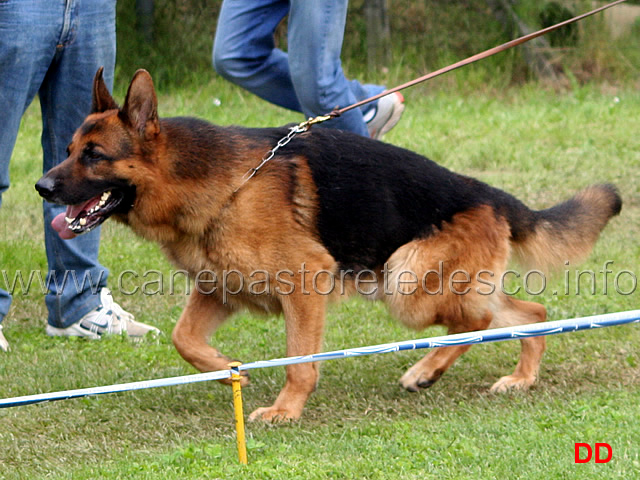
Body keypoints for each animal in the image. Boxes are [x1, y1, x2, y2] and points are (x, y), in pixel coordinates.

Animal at [33, 69, 620, 422]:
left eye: (94, 156)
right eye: (68, 149)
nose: (41, 187)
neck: (218, 183)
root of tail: (491, 194)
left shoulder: (304, 283)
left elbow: (299, 361)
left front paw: (285, 411)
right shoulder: (220, 289)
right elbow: (185, 340)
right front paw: (228, 369)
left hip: (406, 283)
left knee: (478, 321)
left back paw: (426, 370)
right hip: (431, 283)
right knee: (529, 313)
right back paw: (518, 378)